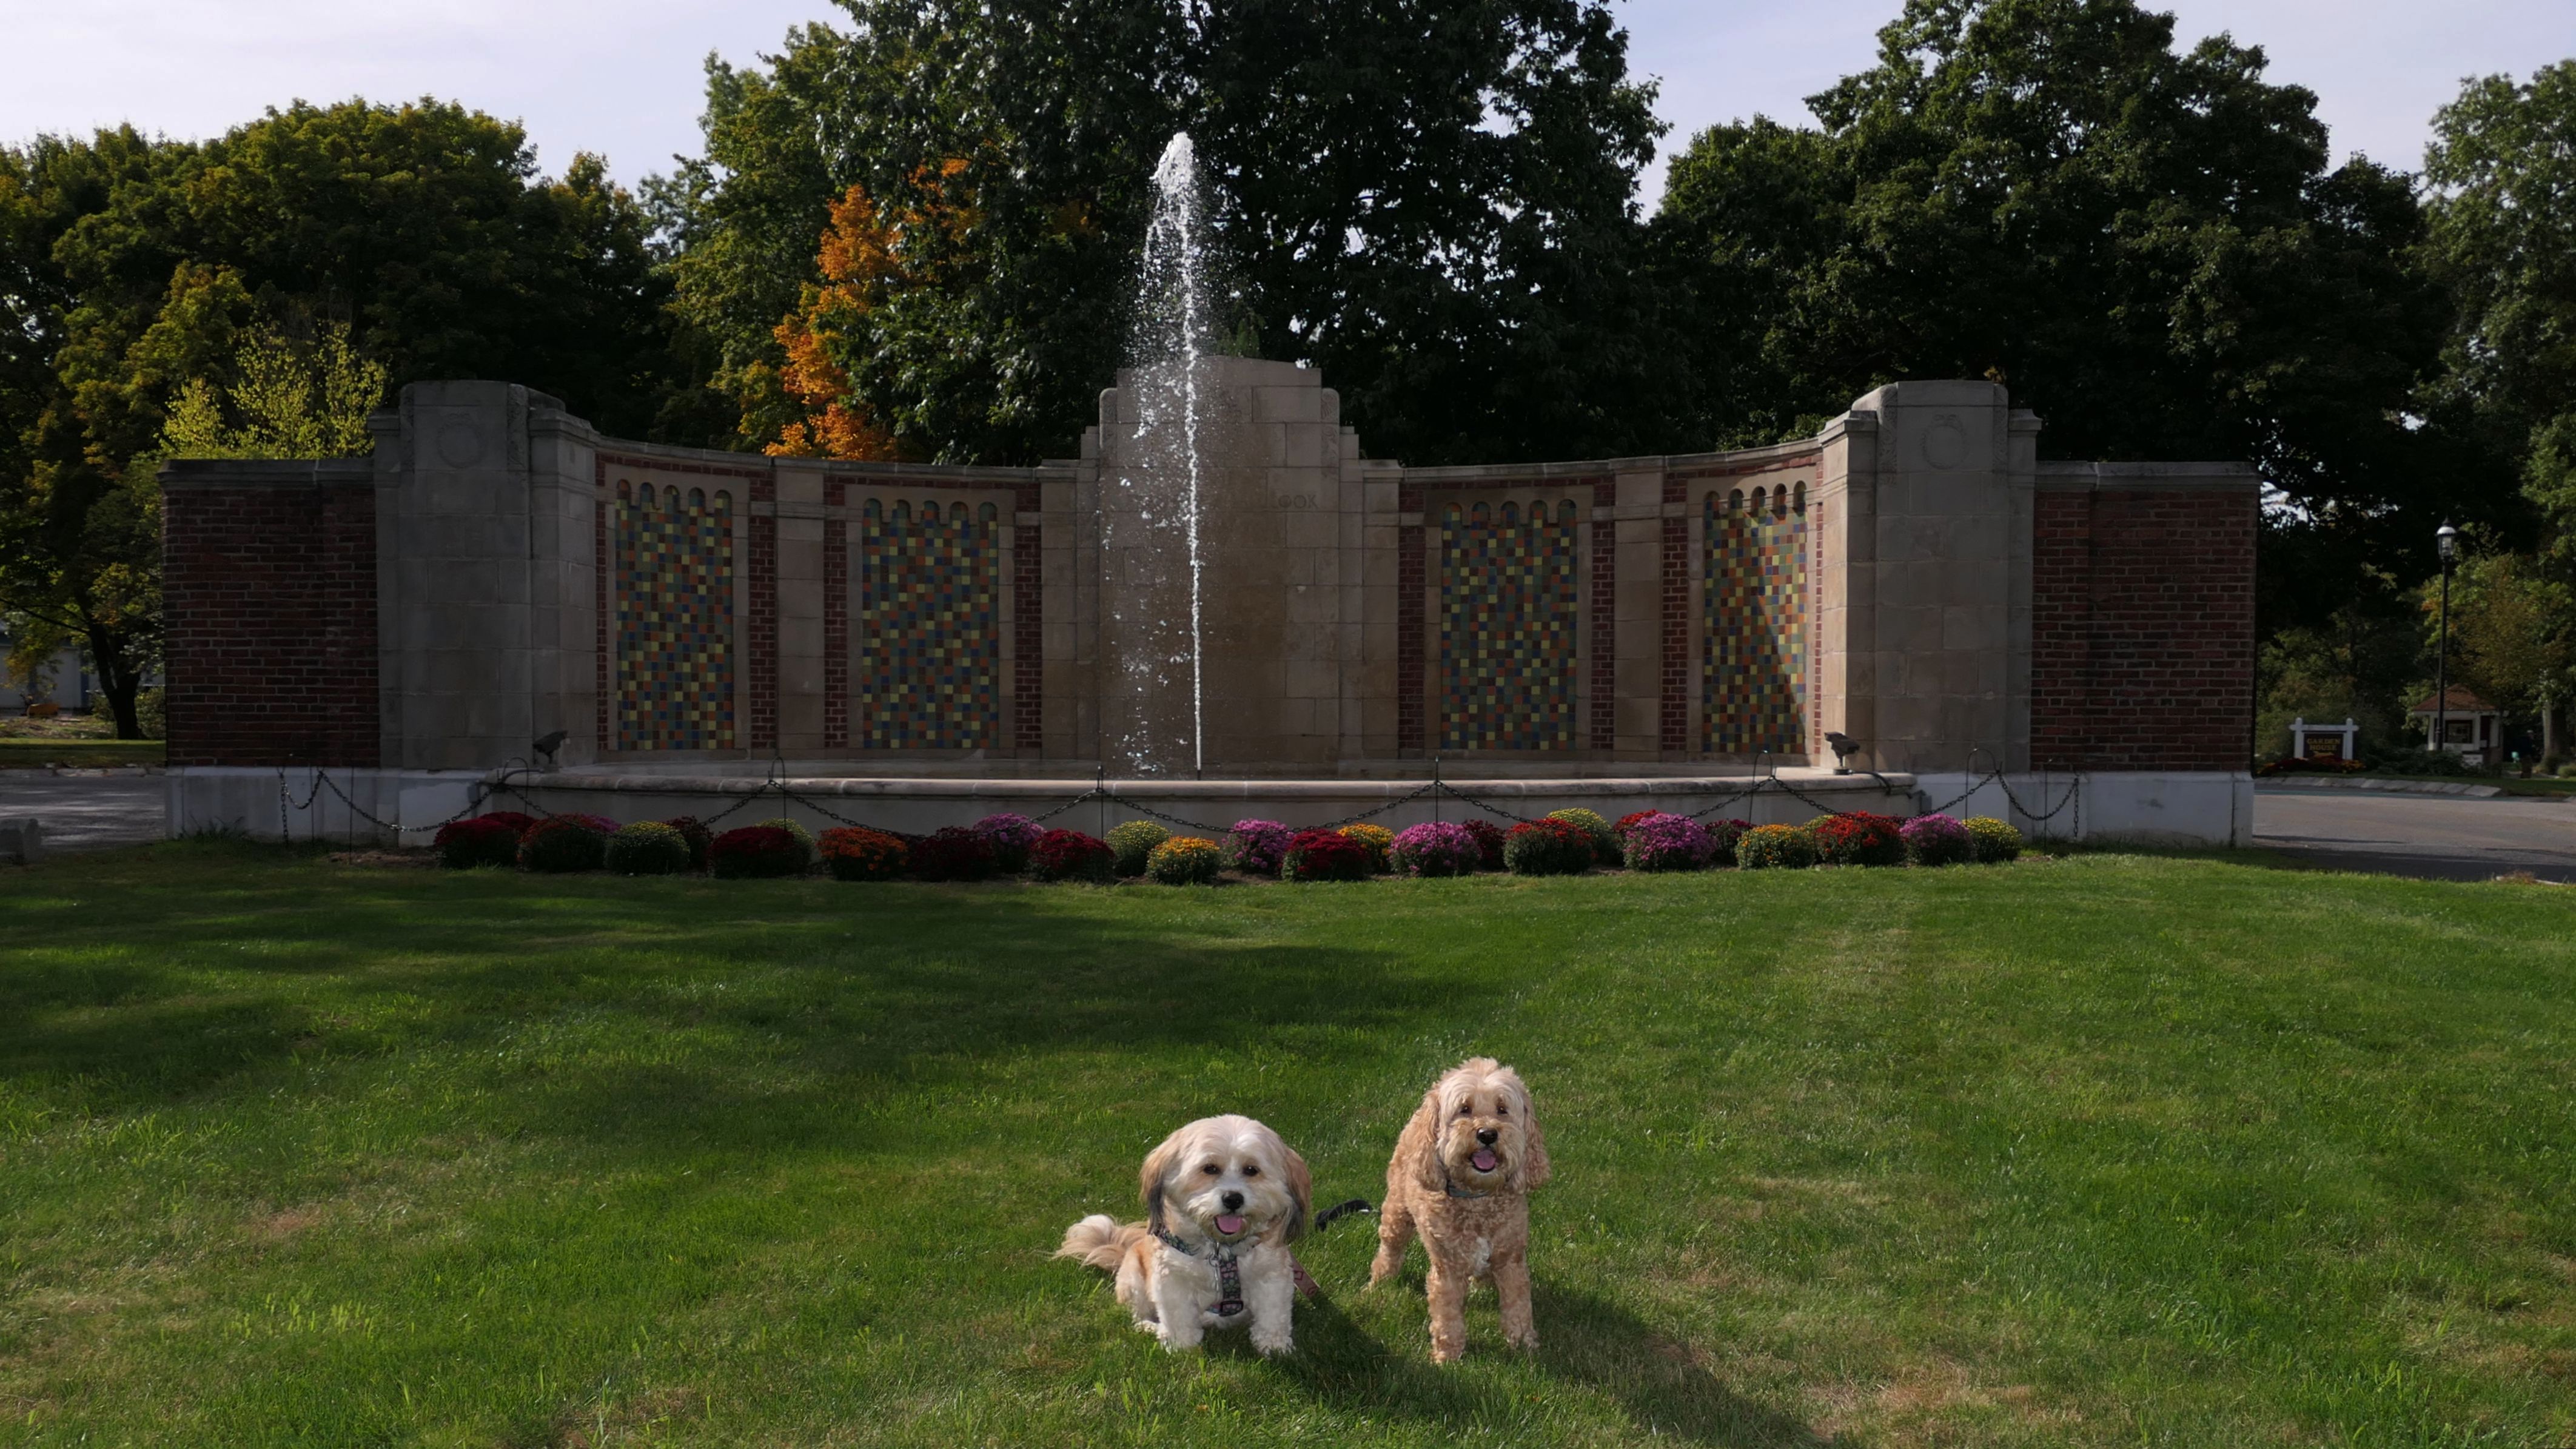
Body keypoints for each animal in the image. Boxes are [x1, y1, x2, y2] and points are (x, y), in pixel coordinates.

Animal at [1057, 1115, 1312, 1355]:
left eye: (1251, 1170)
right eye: (1210, 1168)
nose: (1233, 1199)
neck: (1221, 1250)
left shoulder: (1272, 1276)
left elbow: (1273, 1314)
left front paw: (1274, 1345)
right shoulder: (1171, 1278)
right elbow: (1178, 1315)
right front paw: (1181, 1345)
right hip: (1135, 1282)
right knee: (1139, 1315)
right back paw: (1151, 1327)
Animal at [1369, 1057, 1549, 1362]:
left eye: (1502, 1109)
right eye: (1464, 1109)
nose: (1487, 1134)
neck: (1477, 1199)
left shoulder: (1511, 1259)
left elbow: (1518, 1304)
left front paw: (1524, 1342)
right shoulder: (1447, 1269)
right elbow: (1447, 1315)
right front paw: (1448, 1355)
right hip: (1396, 1212)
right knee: (1390, 1248)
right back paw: (1379, 1281)